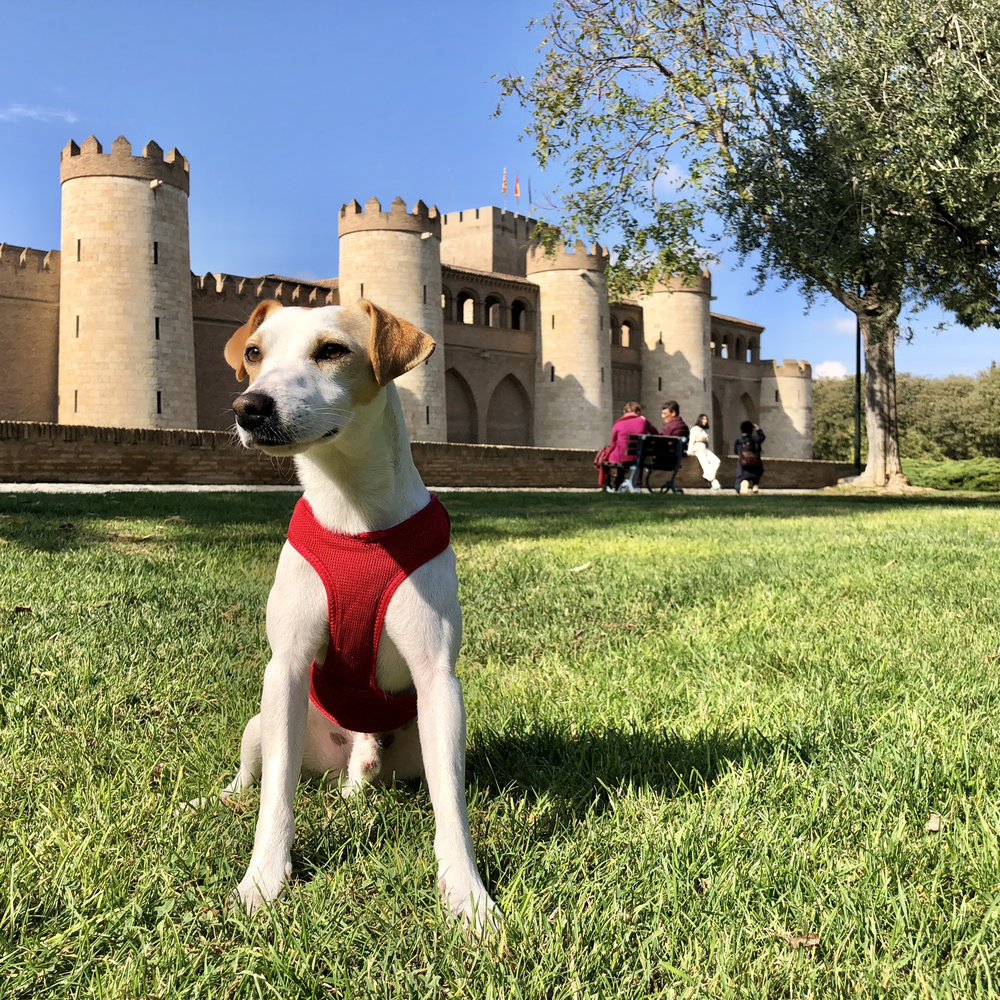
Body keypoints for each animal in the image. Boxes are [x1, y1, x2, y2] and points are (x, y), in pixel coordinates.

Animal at [219, 296, 500, 928]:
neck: (353, 514)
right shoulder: (286, 668)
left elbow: (452, 806)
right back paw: (223, 795)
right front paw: (264, 879)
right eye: (255, 352)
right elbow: (276, 794)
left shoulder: (438, 680)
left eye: (332, 350)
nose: (250, 406)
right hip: (264, 722)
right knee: (256, 771)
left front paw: (467, 895)